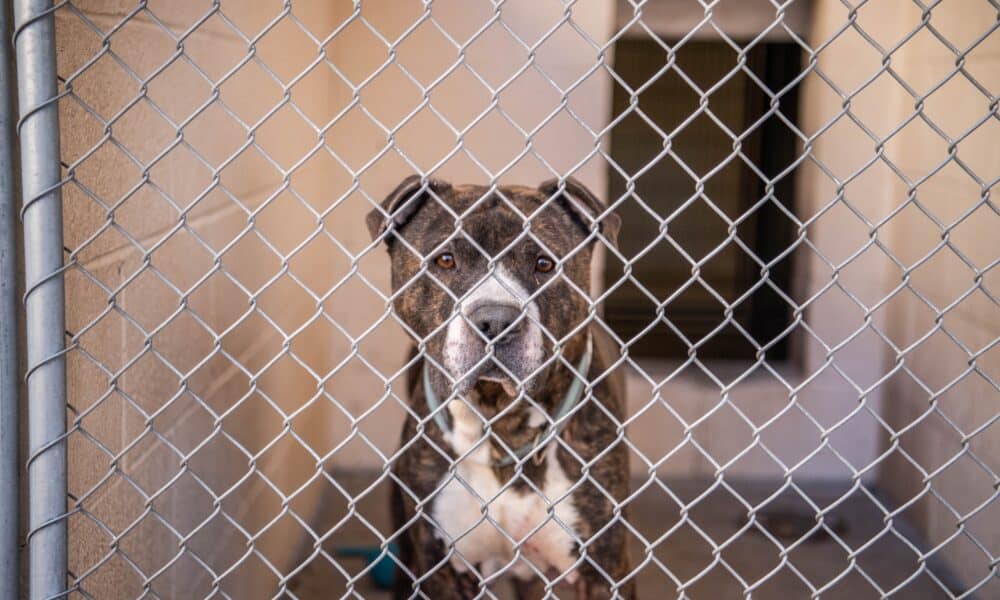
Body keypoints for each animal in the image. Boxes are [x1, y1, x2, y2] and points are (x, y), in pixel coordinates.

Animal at [368, 176, 632, 596]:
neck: (501, 425)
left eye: (544, 263)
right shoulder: (441, 570)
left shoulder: (604, 571)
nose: (496, 320)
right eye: (446, 259)